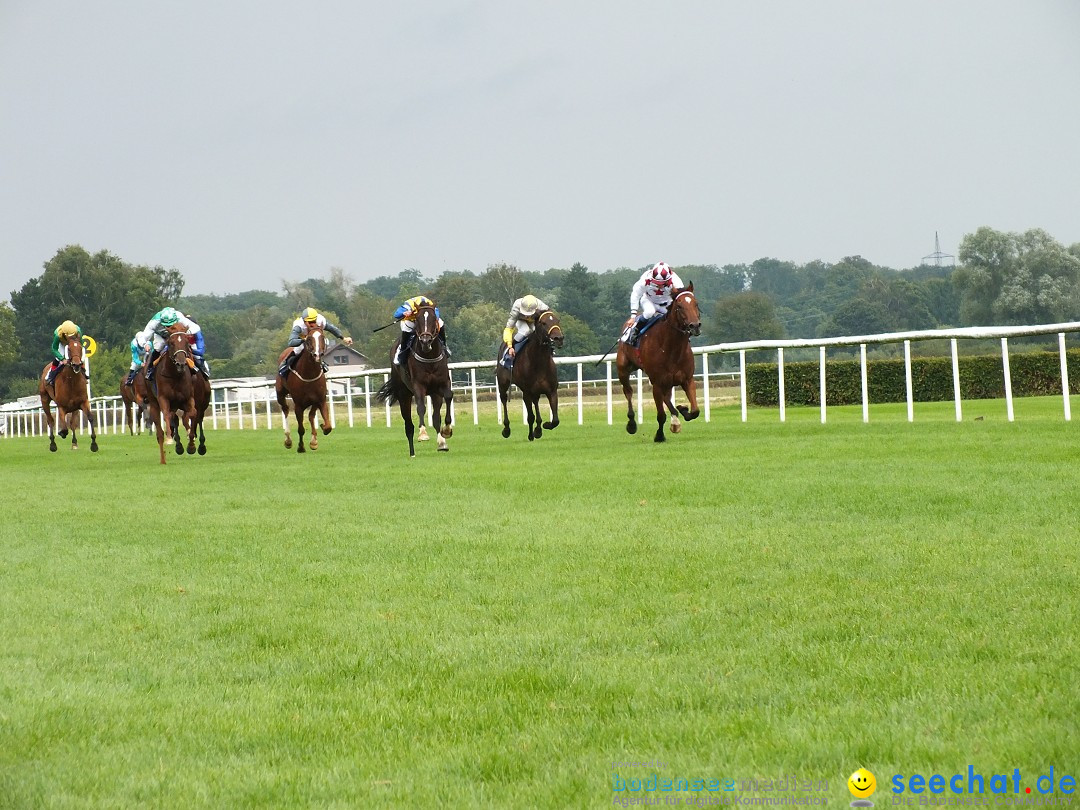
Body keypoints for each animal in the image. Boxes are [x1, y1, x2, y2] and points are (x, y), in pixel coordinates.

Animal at [135, 324, 198, 462]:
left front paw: (191, 444)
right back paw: (163, 458)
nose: (181, 363)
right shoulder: (163, 398)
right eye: (171, 343)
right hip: (153, 403)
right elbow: (166, 415)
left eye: (187, 342)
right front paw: (169, 438)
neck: (175, 375)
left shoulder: (188, 398)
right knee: (159, 432)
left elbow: (191, 414)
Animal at [375, 304, 451, 457]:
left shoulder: (442, 384)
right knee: (408, 425)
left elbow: (448, 397)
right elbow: (421, 407)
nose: (426, 341)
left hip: (434, 394)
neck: (429, 357)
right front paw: (423, 434)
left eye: (433, 319)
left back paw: (441, 443)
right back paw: (412, 453)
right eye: (418, 320)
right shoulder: (418, 386)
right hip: (403, 395)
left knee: (435, 418)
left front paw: (447, 430)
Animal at [496, 306, 565, 440]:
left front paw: (543, 426)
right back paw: (506, 429)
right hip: (503, 384)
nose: (558, 338)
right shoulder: (526, 392)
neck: (539, 363)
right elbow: (530, 416)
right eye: (543, 323)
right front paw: (532, 434)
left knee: (536, 403)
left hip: (536, 391)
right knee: (504, 399)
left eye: (557, 320)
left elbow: (555, 420)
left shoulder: (552, 391)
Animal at [613, 282, 704, 444]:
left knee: (666, 397)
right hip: (623, 369)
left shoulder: (687, 379)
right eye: (679, 306)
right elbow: (661, 415)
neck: (671, 348)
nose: (695, 326)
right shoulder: (656, 383)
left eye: (696, 303)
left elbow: (695, 411)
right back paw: (632, 423)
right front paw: (659, 436)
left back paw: (676, 417)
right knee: (628, 391)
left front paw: (683, 410)